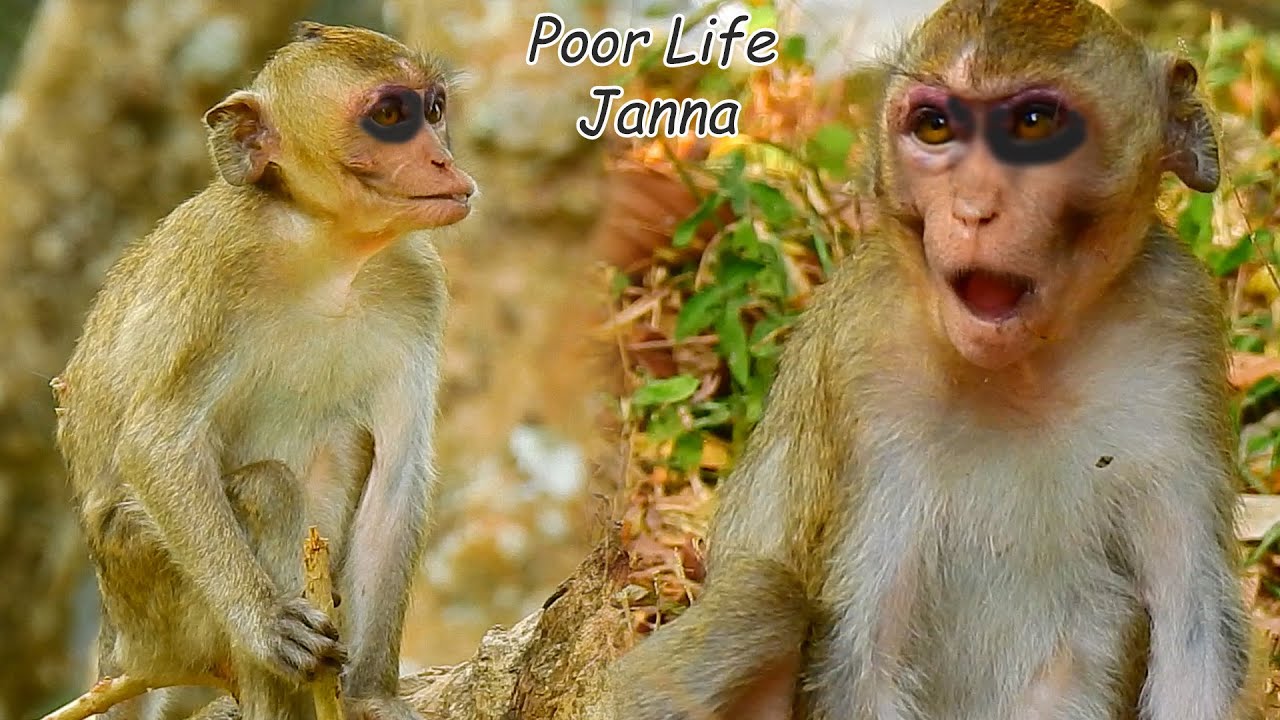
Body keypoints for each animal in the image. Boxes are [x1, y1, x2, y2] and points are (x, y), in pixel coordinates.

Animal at [52, 21, 474, 720]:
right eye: (390, 117)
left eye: (434, 109)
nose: (444, 161)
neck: (326, 249)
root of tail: (122, 646)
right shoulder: (219, 266)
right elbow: (156, 443)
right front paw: (266, 622)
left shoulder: (418, 285)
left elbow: (396, 478)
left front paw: (373, 697)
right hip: (148, 591)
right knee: (268, 490)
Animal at [609, 1, 1262, 719]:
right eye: (935, 126)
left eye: (1035, 124)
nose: (973, 210)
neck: (1024, 368)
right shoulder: (868, 361)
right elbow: (861, 655)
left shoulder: (1178, 327)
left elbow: (1196, 629)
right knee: (762, 596)